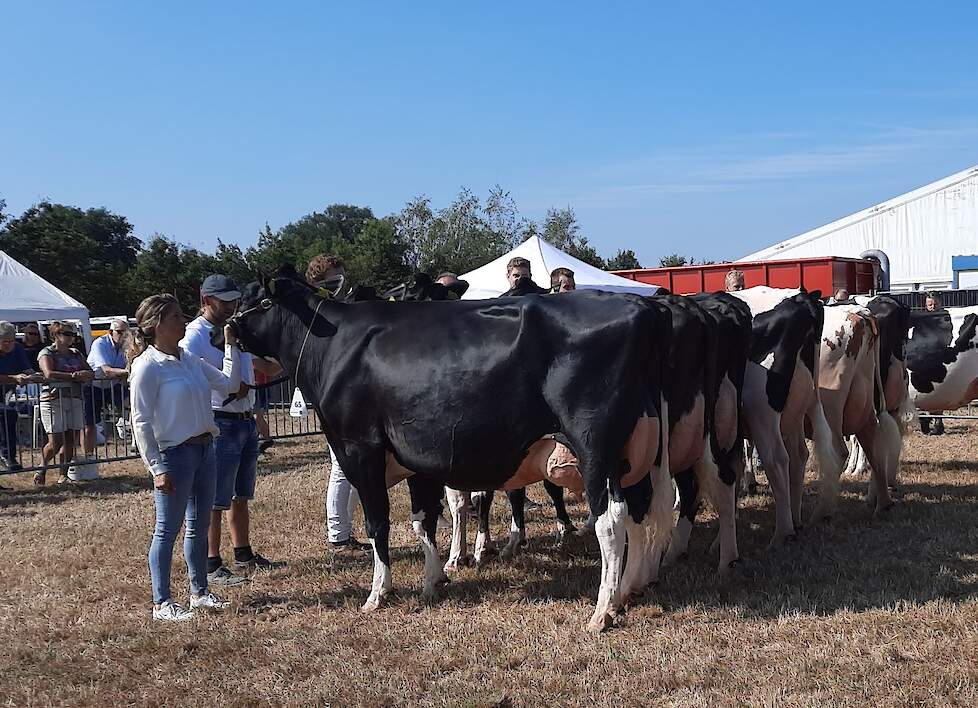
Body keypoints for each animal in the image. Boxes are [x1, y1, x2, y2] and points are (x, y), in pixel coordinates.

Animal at [229, 266, 672, 632]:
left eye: (253, 298)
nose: (226, 329)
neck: (331, 344)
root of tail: (641, 306)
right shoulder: (416, 459)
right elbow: (422, 520)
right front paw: (435, 579)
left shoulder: (360, 449)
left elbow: (378, 524)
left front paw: (378, 593)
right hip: (636, 451)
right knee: (638, 510)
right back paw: (629, 590)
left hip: (595, 447)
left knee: (610, 520)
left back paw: (603, 610)